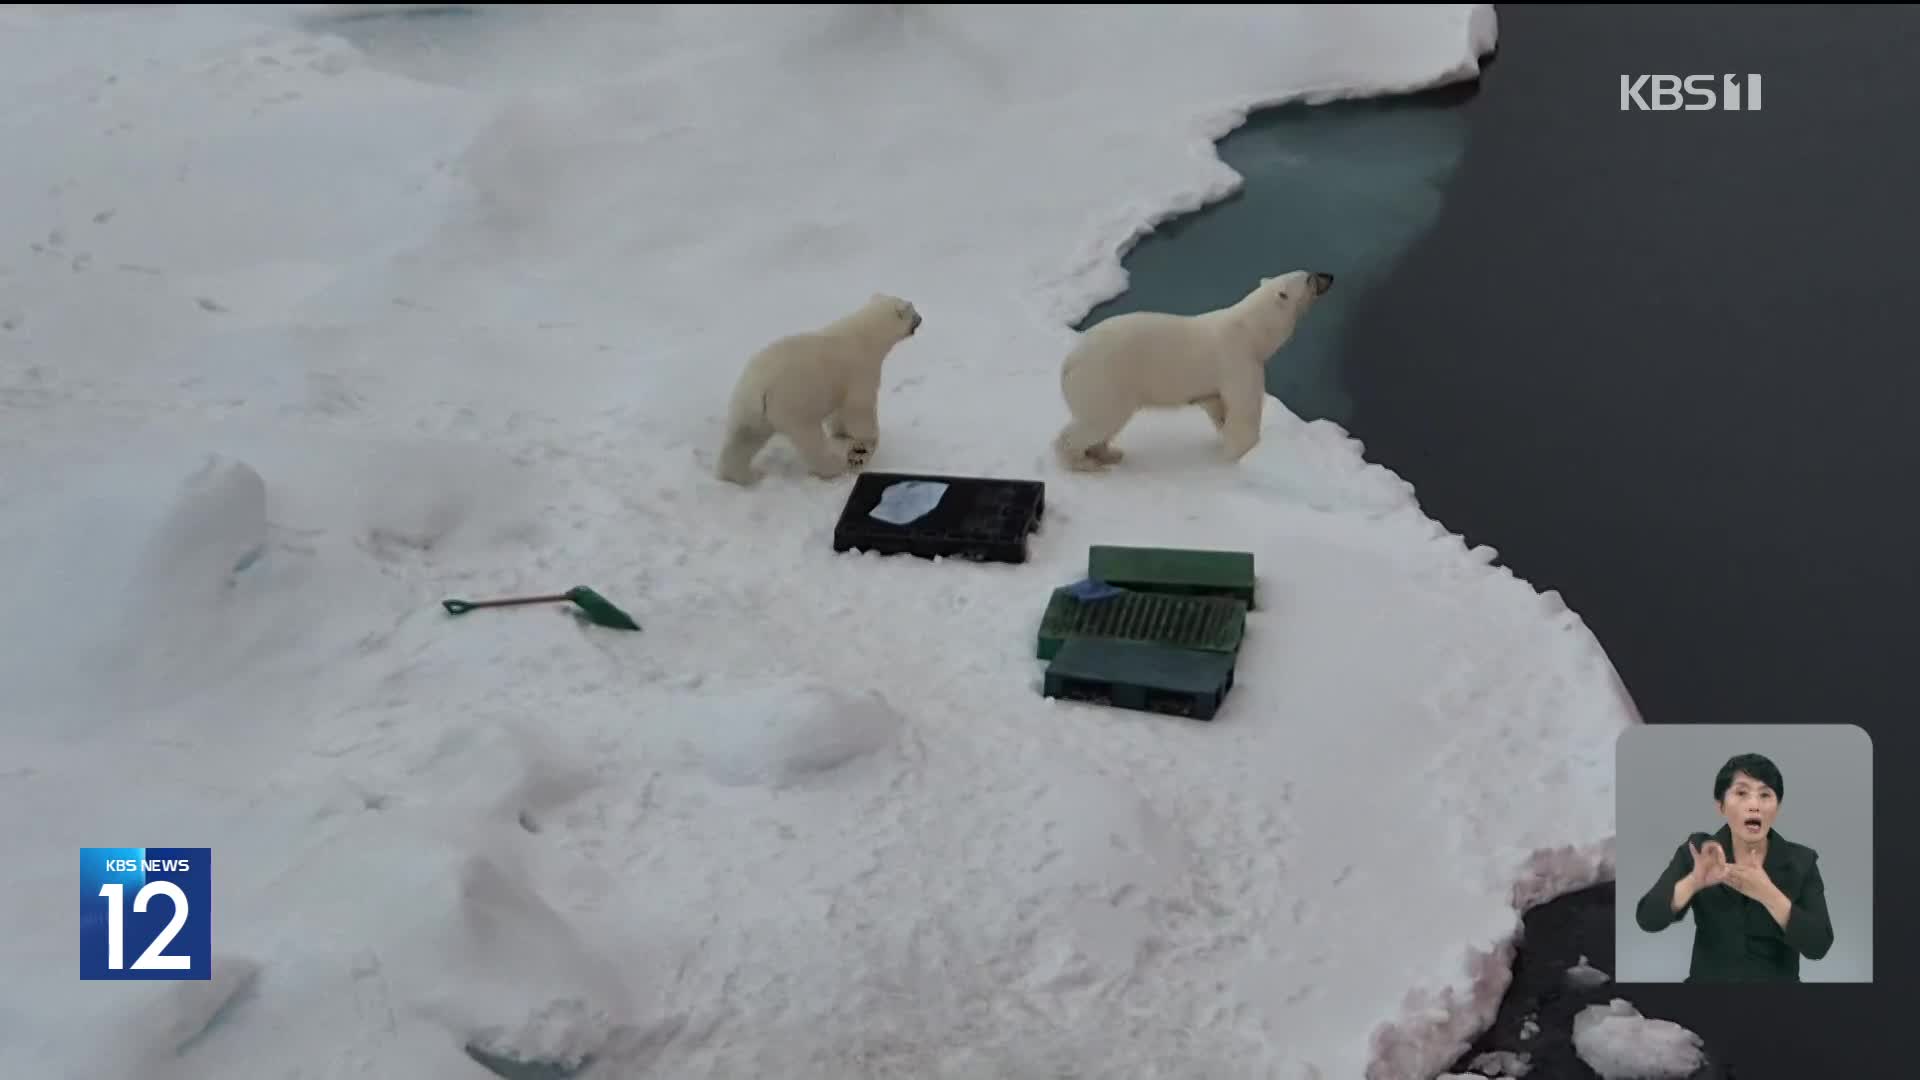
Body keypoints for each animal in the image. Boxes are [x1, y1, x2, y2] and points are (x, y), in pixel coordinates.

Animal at [721, 290, 929, 484]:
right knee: (810, 440)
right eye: (913, 309)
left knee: (743, 439)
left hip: (749, 410)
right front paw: (861, 448)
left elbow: (838, 412)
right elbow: (859, 410)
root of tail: (758, 388)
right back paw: (833, 467)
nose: (921, 318)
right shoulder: (860, 370)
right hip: (794, 403)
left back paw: (740, 476)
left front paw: (842, 434)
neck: (866, 335)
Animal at [1052, 267, 1336, 466]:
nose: (1330, 275)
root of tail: (1069, 360)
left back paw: (1109, 454)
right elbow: (1245, 409)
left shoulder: (1213, 387)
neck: (1253, 332)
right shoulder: (1239, 361)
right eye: (1309, 278)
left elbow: (1216, 405)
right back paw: (1082, 461)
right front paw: (1243, 453)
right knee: (1100, 419)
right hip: (1105, 378)